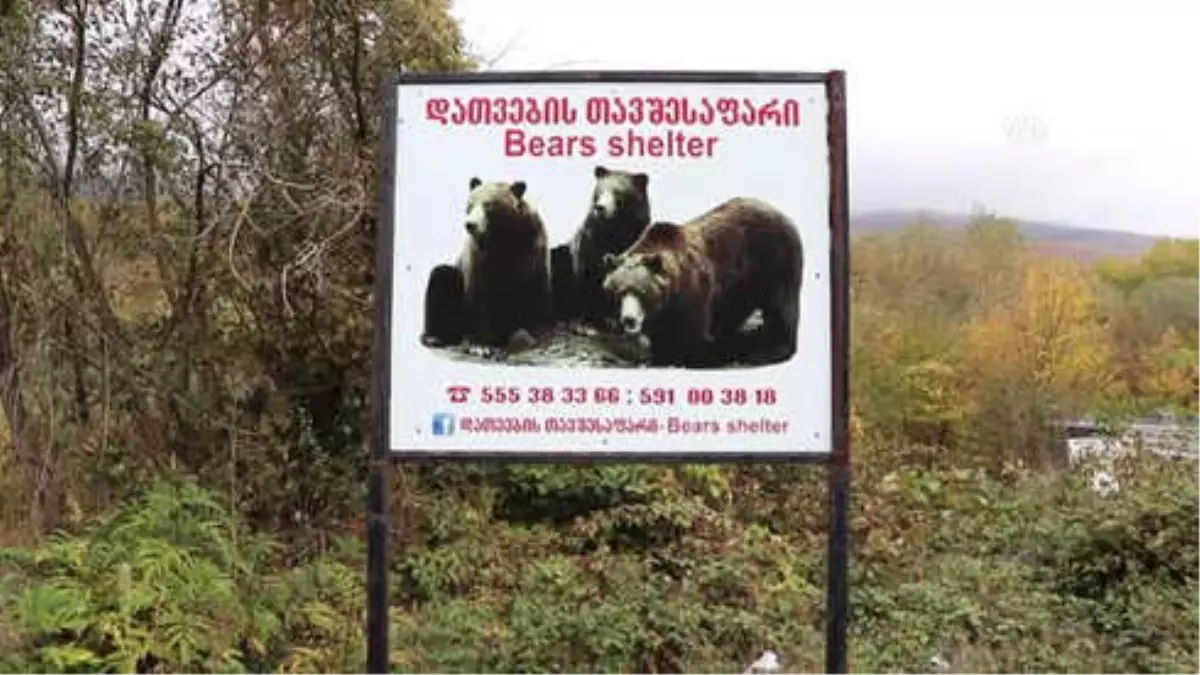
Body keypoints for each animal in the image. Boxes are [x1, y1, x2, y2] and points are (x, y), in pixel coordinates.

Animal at [422, 176, 552, 348]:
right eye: (470, 204)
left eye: (488, 204)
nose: (470, 224)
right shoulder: (479, 256)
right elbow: (477, 296)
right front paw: (480, 345)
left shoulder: (532, 247)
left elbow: (533, 292)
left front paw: (531, 332)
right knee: (441, 276)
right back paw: (435, 337)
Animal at [549, 163, 652, 331]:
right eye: (600, 190)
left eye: (617, 192)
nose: (600, 207)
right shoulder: (589, 243)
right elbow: (585, 278)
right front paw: (583, 323)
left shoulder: (634, 239)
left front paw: (613, 320)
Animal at [600, 194, 806, 367]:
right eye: (619, 292)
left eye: (642, 291)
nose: (629, 319)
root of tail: (782, 213)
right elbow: (661, 338)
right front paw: (661, 356)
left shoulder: (693, 291)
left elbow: (692, 335)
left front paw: (691, 357)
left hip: (775, 262)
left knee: (780, 306)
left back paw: (768, 352)